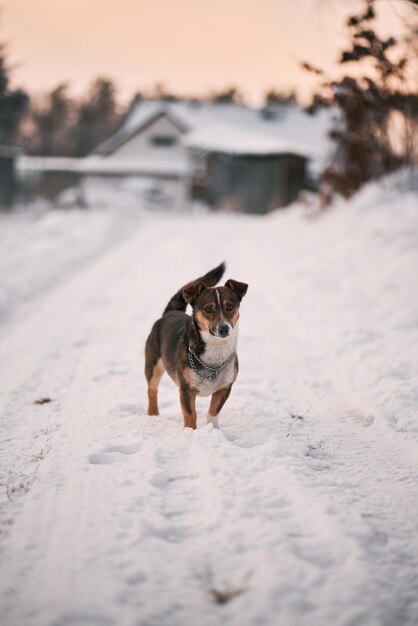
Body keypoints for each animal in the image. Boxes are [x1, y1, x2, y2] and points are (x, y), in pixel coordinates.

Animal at [145, 260, 247, 426]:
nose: (224, 329)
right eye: (208, 309)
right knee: (152, 389)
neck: (215, 350)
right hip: (153, 364)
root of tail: (170, 312)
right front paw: (191, 430)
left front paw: (213, 429)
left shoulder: (225, 388)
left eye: (230, 306)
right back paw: (153, 414)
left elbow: (213, 411)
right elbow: (190, 414)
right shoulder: (186, 389)